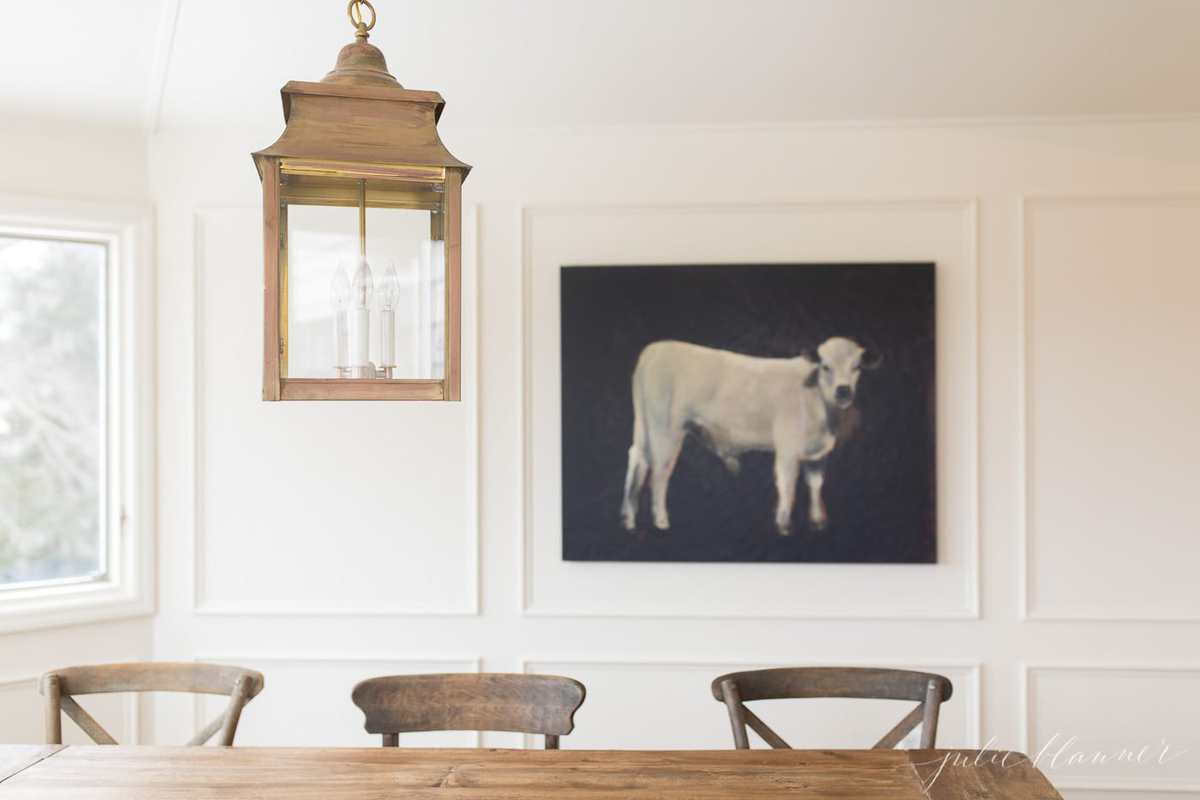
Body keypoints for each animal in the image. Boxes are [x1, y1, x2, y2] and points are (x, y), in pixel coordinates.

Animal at [624, 335, 878, 534]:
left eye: (857, 367)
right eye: (825, 366)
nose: (843, 391)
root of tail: (656, 349)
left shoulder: (819, 453)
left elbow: (815, 483)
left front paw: (818, 521)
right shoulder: (787, 448)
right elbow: (787, 484)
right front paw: (783, 525)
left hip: (644, 424)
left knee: (638, 459)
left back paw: (628, 519)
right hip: (665, 428)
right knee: (660, 471)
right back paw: (661, 520)